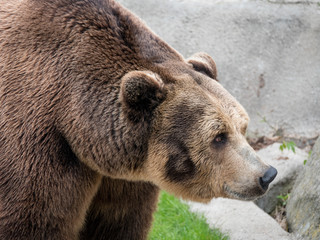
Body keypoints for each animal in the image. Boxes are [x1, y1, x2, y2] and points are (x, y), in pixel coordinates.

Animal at [0, 0, 276, 239]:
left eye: (243, 126)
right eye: (218, 137)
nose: (267, 174)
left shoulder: (127, 180)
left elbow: (117, 224)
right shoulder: (42, 148)